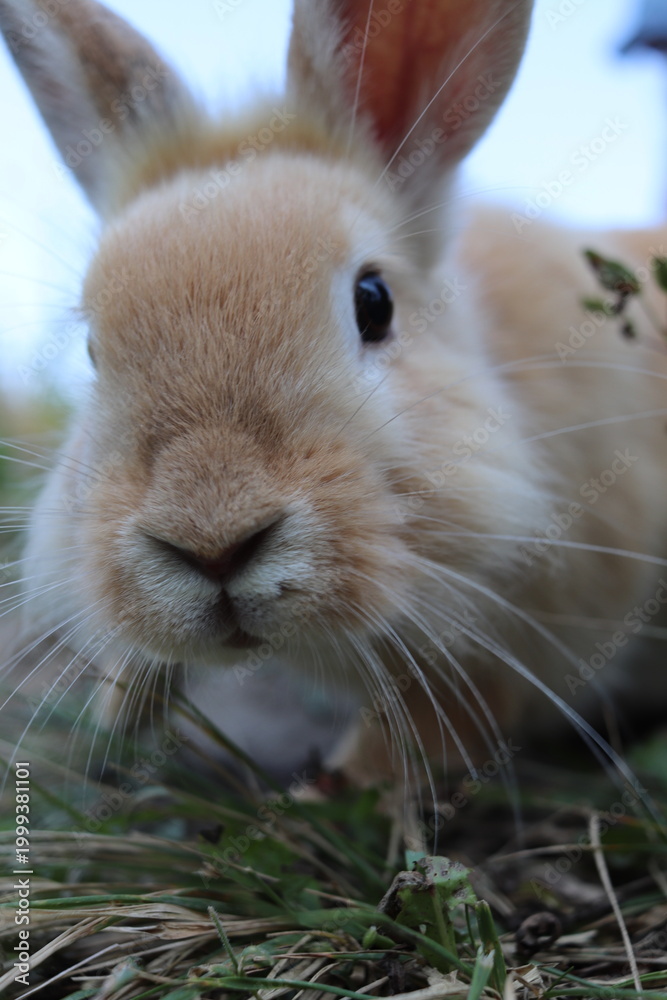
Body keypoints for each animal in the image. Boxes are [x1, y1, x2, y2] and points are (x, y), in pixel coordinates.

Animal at [1, 0, 666, 793]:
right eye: (93, 351)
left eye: (373, 303)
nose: (214, 545)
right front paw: (122, 708)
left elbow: (439, 723)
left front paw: (340, 787)